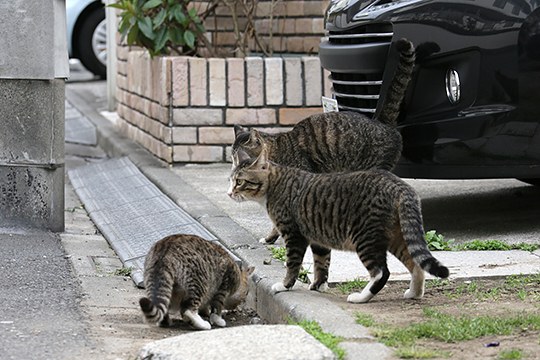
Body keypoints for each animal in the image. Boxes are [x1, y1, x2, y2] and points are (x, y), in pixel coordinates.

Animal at [230, 147, 450, 304]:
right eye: (231, 180)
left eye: (240, 182)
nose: (229, 193)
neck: (275, 184)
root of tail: (399, 184)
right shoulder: (317, 239)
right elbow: (321, 264)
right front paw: (318, 285)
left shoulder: (294, 235)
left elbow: (293, 264)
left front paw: (285, 285)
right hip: (396, 236)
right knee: (415, 264)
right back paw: (414, 293)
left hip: (365, 238)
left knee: (381, 272)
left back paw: (361, 297)